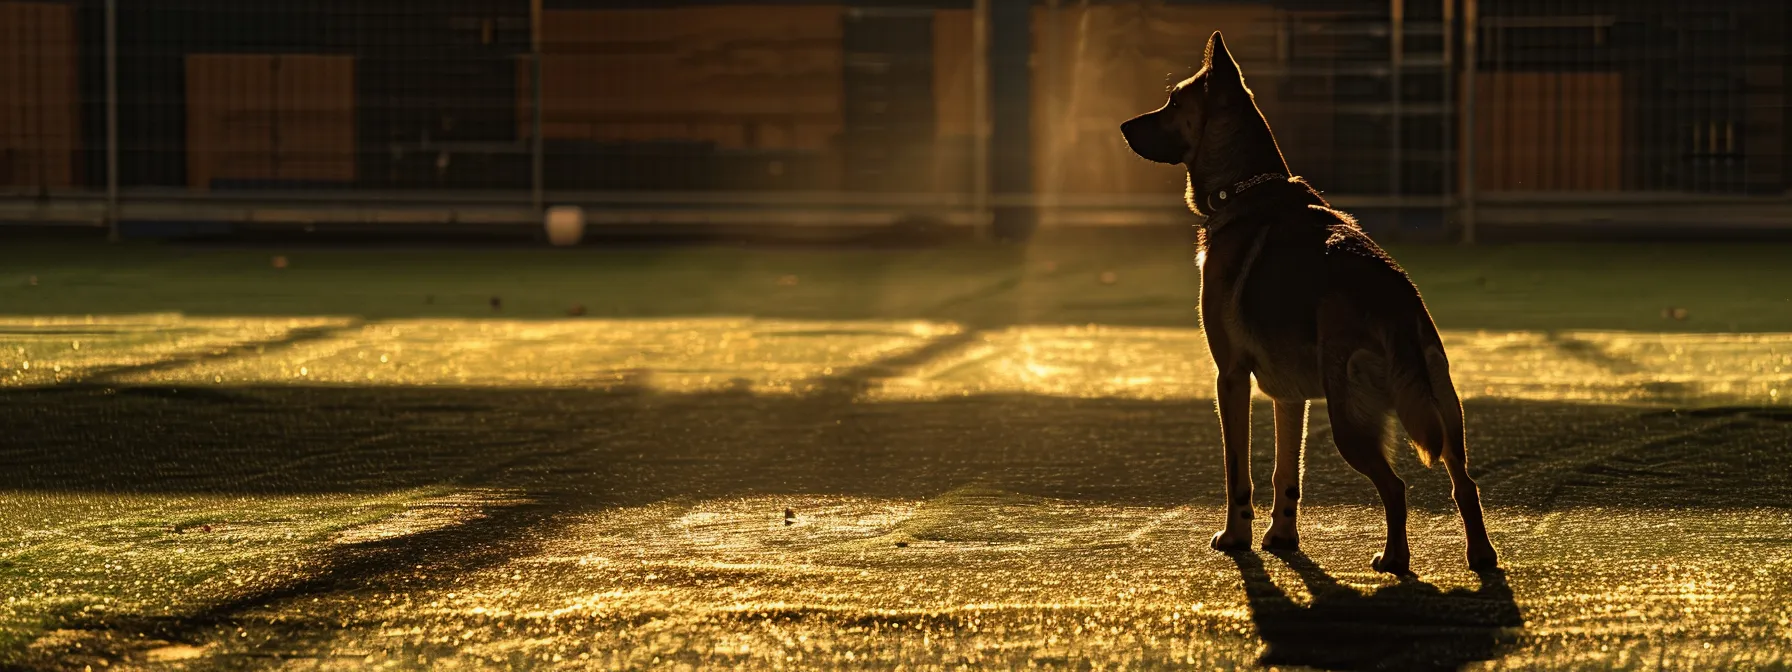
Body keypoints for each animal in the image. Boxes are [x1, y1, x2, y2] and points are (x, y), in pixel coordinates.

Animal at [1118, 31, 1498, 577]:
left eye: (1173, 102)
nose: (1123, 126)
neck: (1244, 187)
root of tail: (1395, 297)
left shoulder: (1230, 378)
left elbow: (1238, 473)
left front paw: (1237, 538)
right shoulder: (1289, 396)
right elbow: (1286, 475)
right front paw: (1282, 538)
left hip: (1348, 422)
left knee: (1396, 487)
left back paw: (1395, 558)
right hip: (1443, 412)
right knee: (1464, 483)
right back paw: (1480, 555)